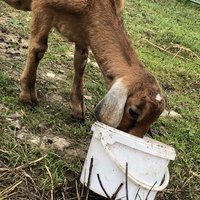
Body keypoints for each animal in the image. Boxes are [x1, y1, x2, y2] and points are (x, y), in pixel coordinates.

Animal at [1, 0, 166, 138]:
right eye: (133, 112)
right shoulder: (42, 7)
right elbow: (38, 48)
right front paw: (27, 96)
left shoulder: (84, 30)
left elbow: (81, 62)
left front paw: (78, 109)